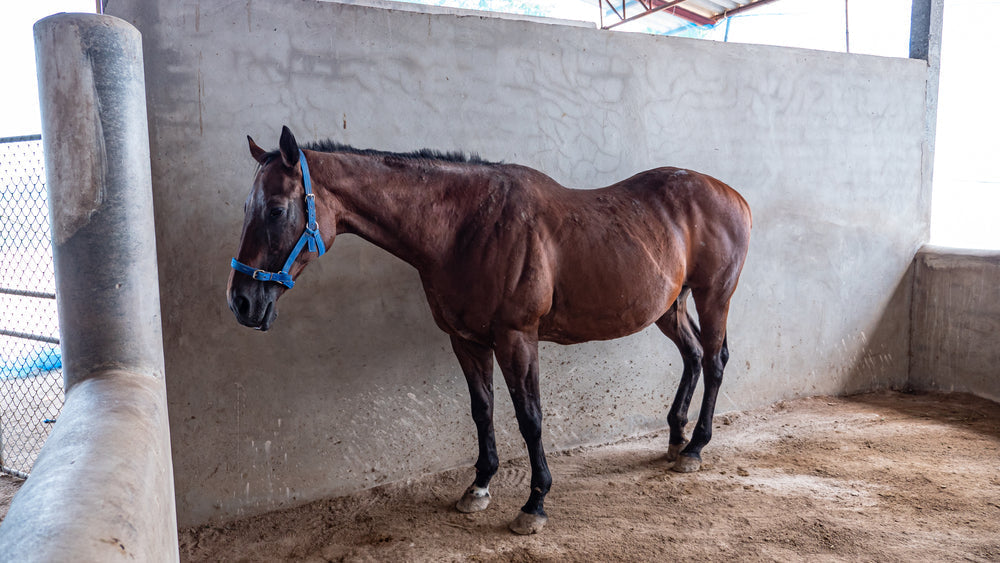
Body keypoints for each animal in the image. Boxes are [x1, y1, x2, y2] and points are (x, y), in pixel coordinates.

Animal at [227, 126, 752, 535]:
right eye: (247, 205)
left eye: (276, 209)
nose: (242, 302)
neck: (464, 228)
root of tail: (733, 195)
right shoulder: (465, 340)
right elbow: (482, 410)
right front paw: (479, 486)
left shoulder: (516, 338)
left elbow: (529, 417)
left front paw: (534, 503)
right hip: (670, 305)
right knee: (692, 356)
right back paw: (676, 439)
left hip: (714, 296)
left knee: (714, 360)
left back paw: (696, 446)